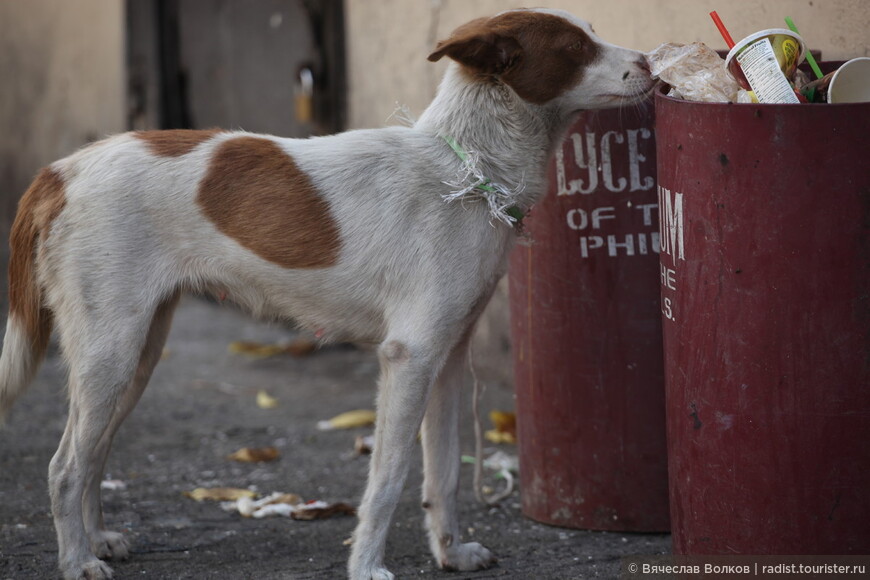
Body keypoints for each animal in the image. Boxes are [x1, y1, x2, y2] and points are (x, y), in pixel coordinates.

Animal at [0, 9, 656, 580]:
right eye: (575, 48)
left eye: (593, 31)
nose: (651, 61)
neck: (465, 169)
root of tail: (58, 171)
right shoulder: (410, 356)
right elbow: (388, 479)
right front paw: (366, 566)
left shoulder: (448, 360)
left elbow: (442, 473)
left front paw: (451, 553)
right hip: (109, 351)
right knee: (64, 466)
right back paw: (77, 560)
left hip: (137, 354)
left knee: (94, 453)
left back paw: (96, 539)